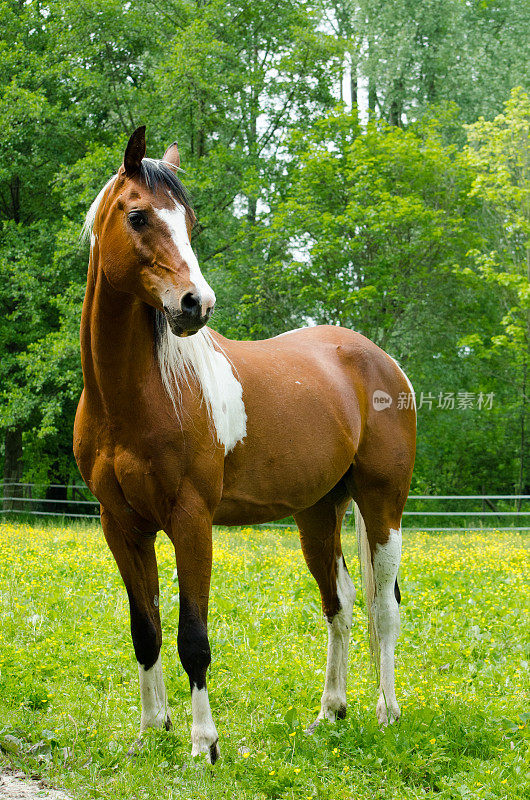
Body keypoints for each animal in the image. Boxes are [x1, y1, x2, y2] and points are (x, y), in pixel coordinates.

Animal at [73, 125, 412, 764]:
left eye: (190, 220)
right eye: (137, 215)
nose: (195, 304)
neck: (139, 394)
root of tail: (381, 361)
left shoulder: (191, 521)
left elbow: (193, 637)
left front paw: (204, 745)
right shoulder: (120, 524)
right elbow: (145, 630)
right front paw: (150, 732)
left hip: (383, 506)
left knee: (383, 607)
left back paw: (387, 713)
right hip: (317, 512)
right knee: (339, 603)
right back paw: (330, 713)